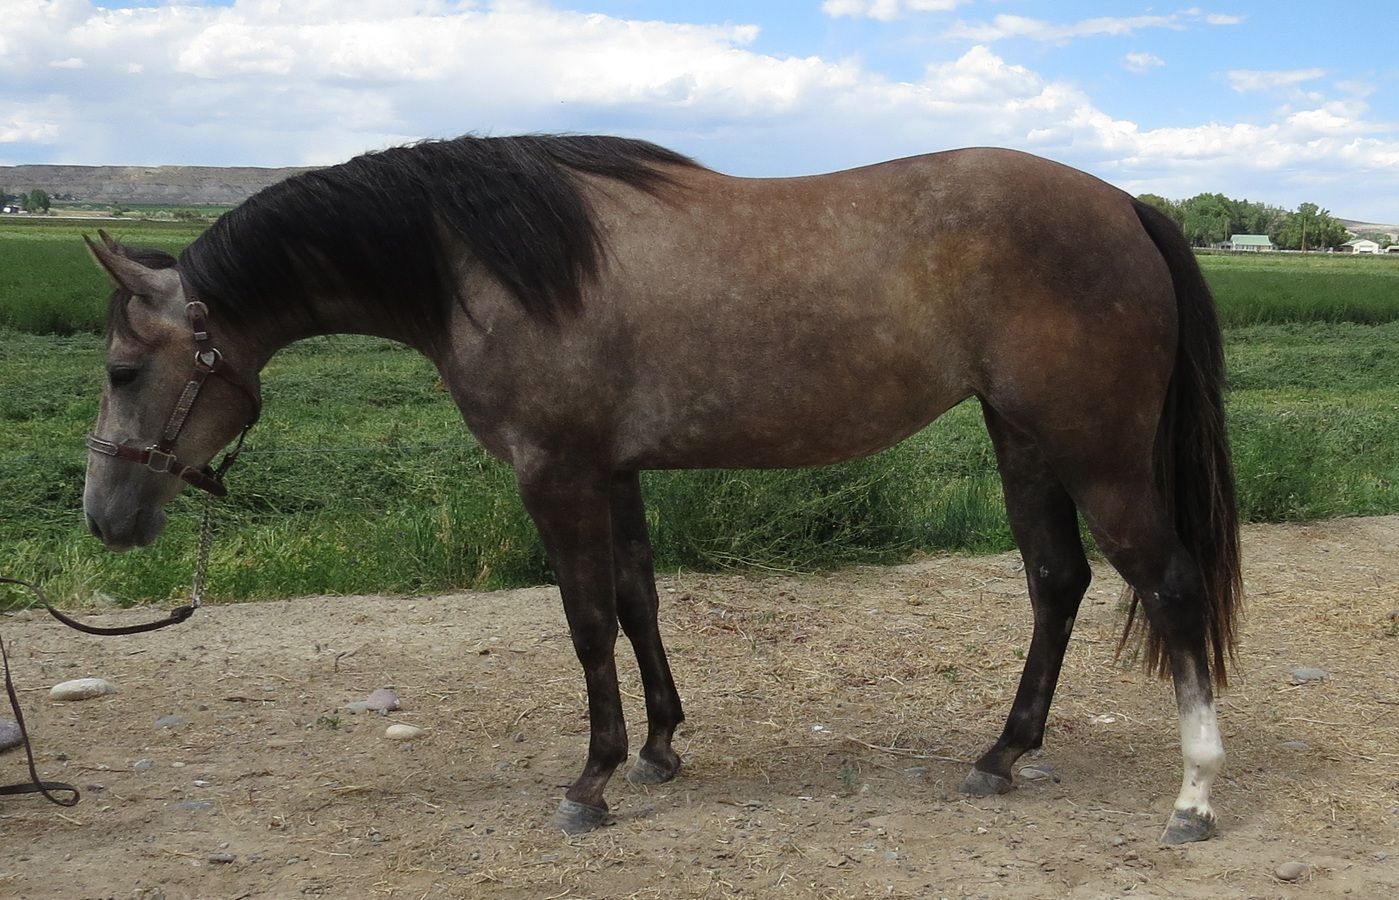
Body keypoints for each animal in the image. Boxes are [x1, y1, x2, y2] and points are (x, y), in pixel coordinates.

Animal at [80, 134, 1240, 843]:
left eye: (123, 371)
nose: (105, 517)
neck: (487, 267)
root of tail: (1125, 207)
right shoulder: (616, 472)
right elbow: (638, 602)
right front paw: (658, 747)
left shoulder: (556, 474)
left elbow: (587, 620)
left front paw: (589, 781)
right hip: (1024, 440)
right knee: (1055, 582)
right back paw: (1000, 755)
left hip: (1095, 451)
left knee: (1170, 587)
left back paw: (1192, 795)